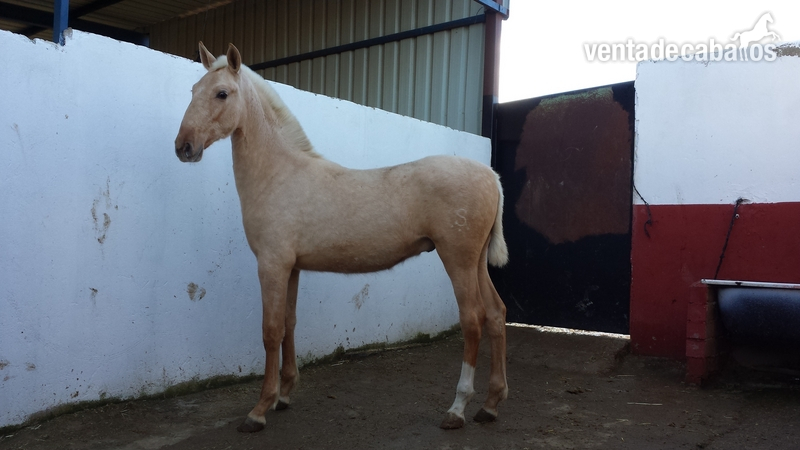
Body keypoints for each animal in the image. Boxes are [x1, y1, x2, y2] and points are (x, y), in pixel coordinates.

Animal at [174, 42, 509, 433]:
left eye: (222, 93)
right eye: (193, 91)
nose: (184, 146)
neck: (279, 173)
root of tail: (490, 176)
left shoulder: (272, 265)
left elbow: (270, 331)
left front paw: (259, 409)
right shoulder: (292, 268)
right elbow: (289, 324)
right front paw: (285, 395)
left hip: (457, 260)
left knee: (473, 320)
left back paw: (457, 408)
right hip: (476, 263)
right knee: (496, 314)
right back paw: (490, 405)